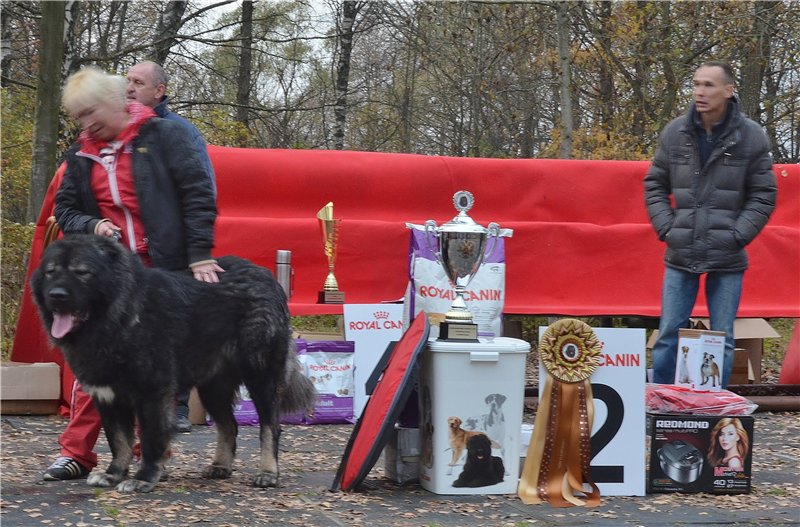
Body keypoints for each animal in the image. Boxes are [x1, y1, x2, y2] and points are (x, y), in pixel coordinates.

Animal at [31, 234, 318, 490]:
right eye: (50, 272)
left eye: (82, 272)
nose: (56, 295)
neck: (121, 316)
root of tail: (266, 277)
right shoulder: (108, 396)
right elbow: (119, 440)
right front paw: (114, 474)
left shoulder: (151, 393)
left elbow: (149, 439)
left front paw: (143, 478)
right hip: (213, 387)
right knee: (229, 425)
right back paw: (221, 466)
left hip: (260, 377)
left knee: (270, 427)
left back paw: (268, 473)